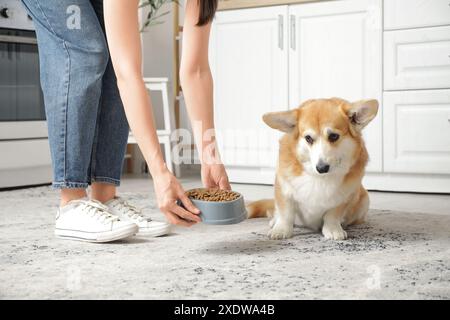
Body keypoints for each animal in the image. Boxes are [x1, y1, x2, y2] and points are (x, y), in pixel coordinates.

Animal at [248, 97, 378, 240]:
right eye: (308, 138)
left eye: (334, 136)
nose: (322, 168)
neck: (319, 177)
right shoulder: (283, 190)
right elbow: (286, 213)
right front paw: (281, 230)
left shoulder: (343, 197)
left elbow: (332, 215)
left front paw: (333, 230)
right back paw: (273, 221)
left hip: (364, 200)